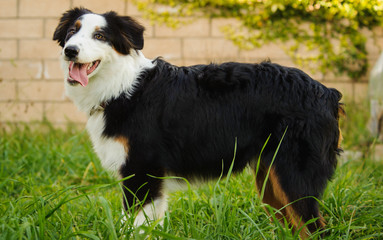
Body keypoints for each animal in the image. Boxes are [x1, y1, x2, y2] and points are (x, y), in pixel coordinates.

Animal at [52, 7, 344, 238]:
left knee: (316, 229)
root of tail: (327, 92)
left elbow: (133, 226)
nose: (70, 51)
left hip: (294, 179)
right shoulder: (149, 180)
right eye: (71, 33)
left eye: (100, 36)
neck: (121, 87)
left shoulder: (142, 173)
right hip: (271, 183)